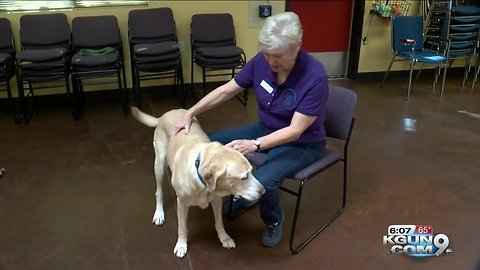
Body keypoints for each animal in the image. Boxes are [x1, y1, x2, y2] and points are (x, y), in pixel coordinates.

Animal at [131, 107, 264, 258]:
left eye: (251, 171)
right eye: (244, 177)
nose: (263, 191)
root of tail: (166, 114)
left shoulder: (217, 200)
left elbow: (219, 222)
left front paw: (224, 238)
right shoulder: (182, 204)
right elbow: (182, 227)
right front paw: (181, 245)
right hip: (159, 164)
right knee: (159, 191)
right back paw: (159, 213)